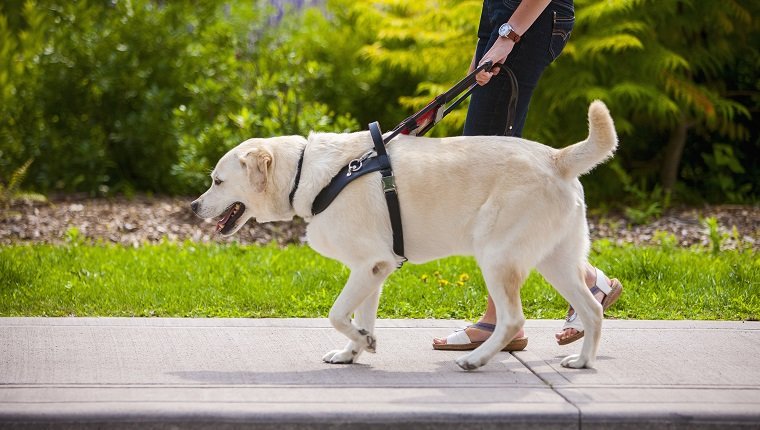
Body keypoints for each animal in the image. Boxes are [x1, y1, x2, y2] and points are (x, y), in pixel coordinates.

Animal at [190, 101, 616, 370]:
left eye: (217, 181)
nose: (193, 206)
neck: (304, 172)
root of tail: (556, 158)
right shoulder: (374, 269)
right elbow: (360, 315)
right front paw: (355, 349)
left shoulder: (369, 264)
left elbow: (335, 313)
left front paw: (361, 342)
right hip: (556, 260)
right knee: (592, 309)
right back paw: (583, 360)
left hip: (497, 257)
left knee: (512, 319)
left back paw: (475, 359)